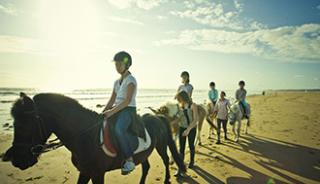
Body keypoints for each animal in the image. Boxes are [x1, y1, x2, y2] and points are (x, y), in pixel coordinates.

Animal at [3, 92, 186, 183]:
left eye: (24, 124)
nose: (17, 160)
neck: (85, 136)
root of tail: (158, 117)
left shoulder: (97, 174)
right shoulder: (85, 172)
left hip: (161, 146)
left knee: (165, 159)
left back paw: (167, 180)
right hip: (142, 153)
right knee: (146, 166)